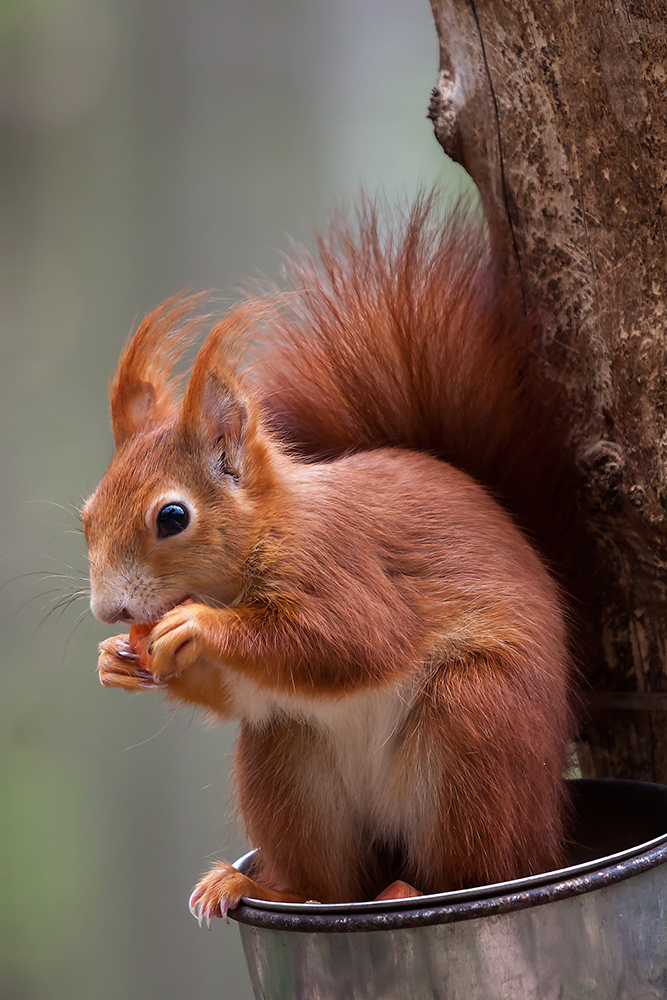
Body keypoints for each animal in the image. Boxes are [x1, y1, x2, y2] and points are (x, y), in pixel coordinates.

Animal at [82, 193, 576, 920]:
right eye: (87, 514)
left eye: (172, 517)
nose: (108, 611)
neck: (261, 539)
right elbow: (234, 691)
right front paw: (115, 661)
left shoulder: (339, 561)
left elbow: (354, 640)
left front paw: (197, 627)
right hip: (286, 758)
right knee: (329, 883)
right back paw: (258, 886)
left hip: (478, 723)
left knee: (481, 869)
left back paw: (414, 888)